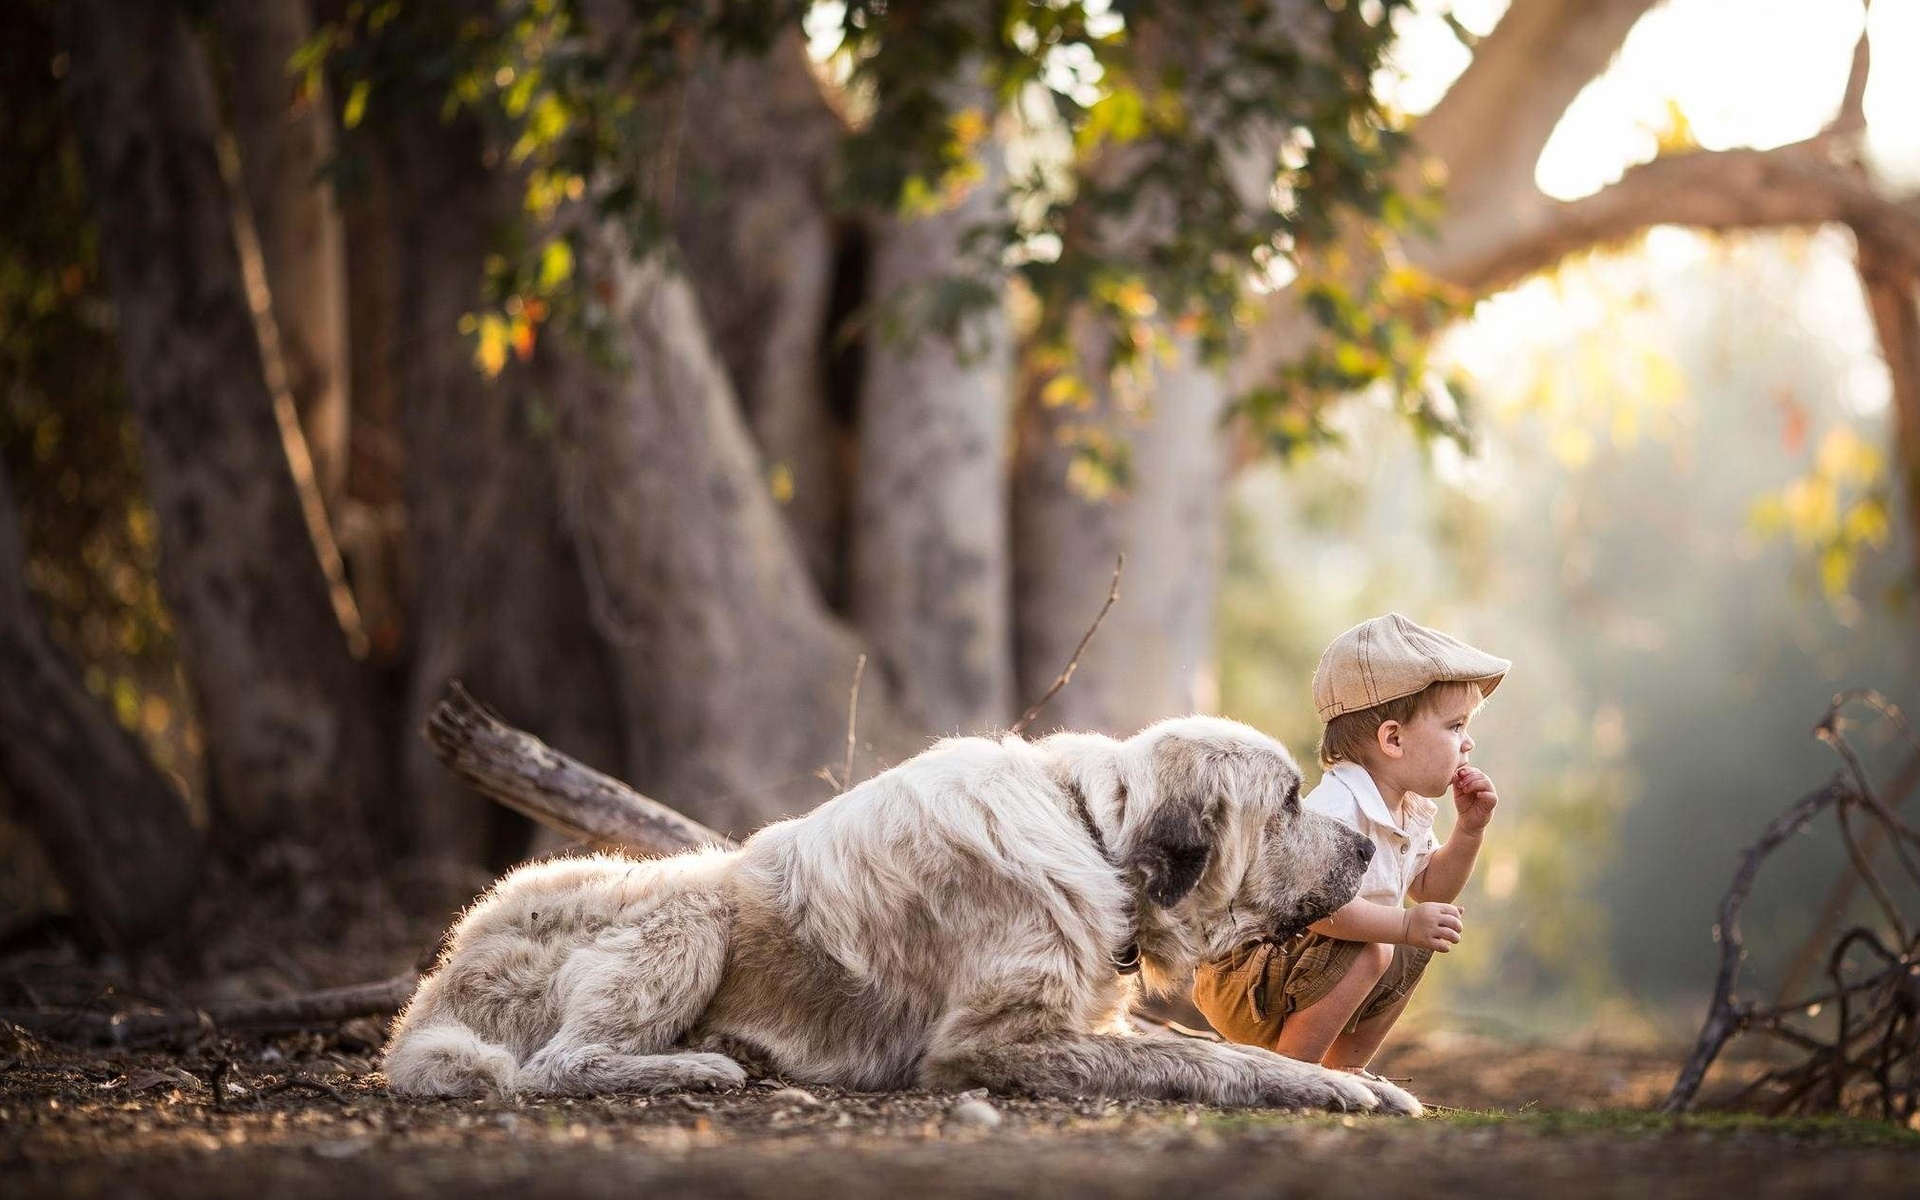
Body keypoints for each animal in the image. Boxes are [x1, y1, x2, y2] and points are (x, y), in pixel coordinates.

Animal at [382, 710, 1420, 1113]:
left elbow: (1196, 1043)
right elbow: (1202, 1060)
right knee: (553, 1066)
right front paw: (1334, 1086)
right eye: (1289, 803)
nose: (1369, 851)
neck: (1090, 836)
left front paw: (1366, 1079)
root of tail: (439, 978)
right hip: (687, 911)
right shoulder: (992, 1042)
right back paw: (699, 1065)